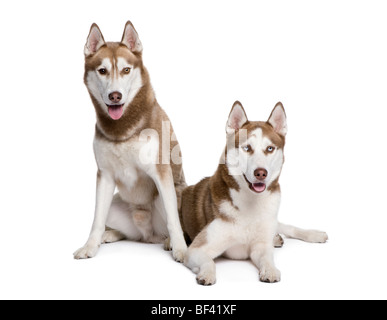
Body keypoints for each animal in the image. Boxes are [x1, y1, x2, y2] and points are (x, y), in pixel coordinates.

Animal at [73, 21, 189, 262]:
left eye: (126, 70)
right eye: (102, 70)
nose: (115, 95)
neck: (122, 128)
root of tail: (149, 235)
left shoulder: (161, 172)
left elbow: (174, 221)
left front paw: (181, 250)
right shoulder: (105, 175)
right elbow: (96, 220)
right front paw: (90, 246)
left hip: (173, 195)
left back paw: (169, 242)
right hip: (116, 206)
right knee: (127, 232)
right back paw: (110, 235)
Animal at [181, 101, 328, 284]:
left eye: (270, 148)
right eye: (247, 148)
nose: (261, 173)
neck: (251, 202)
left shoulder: (260, 246)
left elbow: (267, 257)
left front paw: (271, 270)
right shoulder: (196, 249)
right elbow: (209, 261)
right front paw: (207, 273)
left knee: (287, 227)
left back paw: (313, 234)